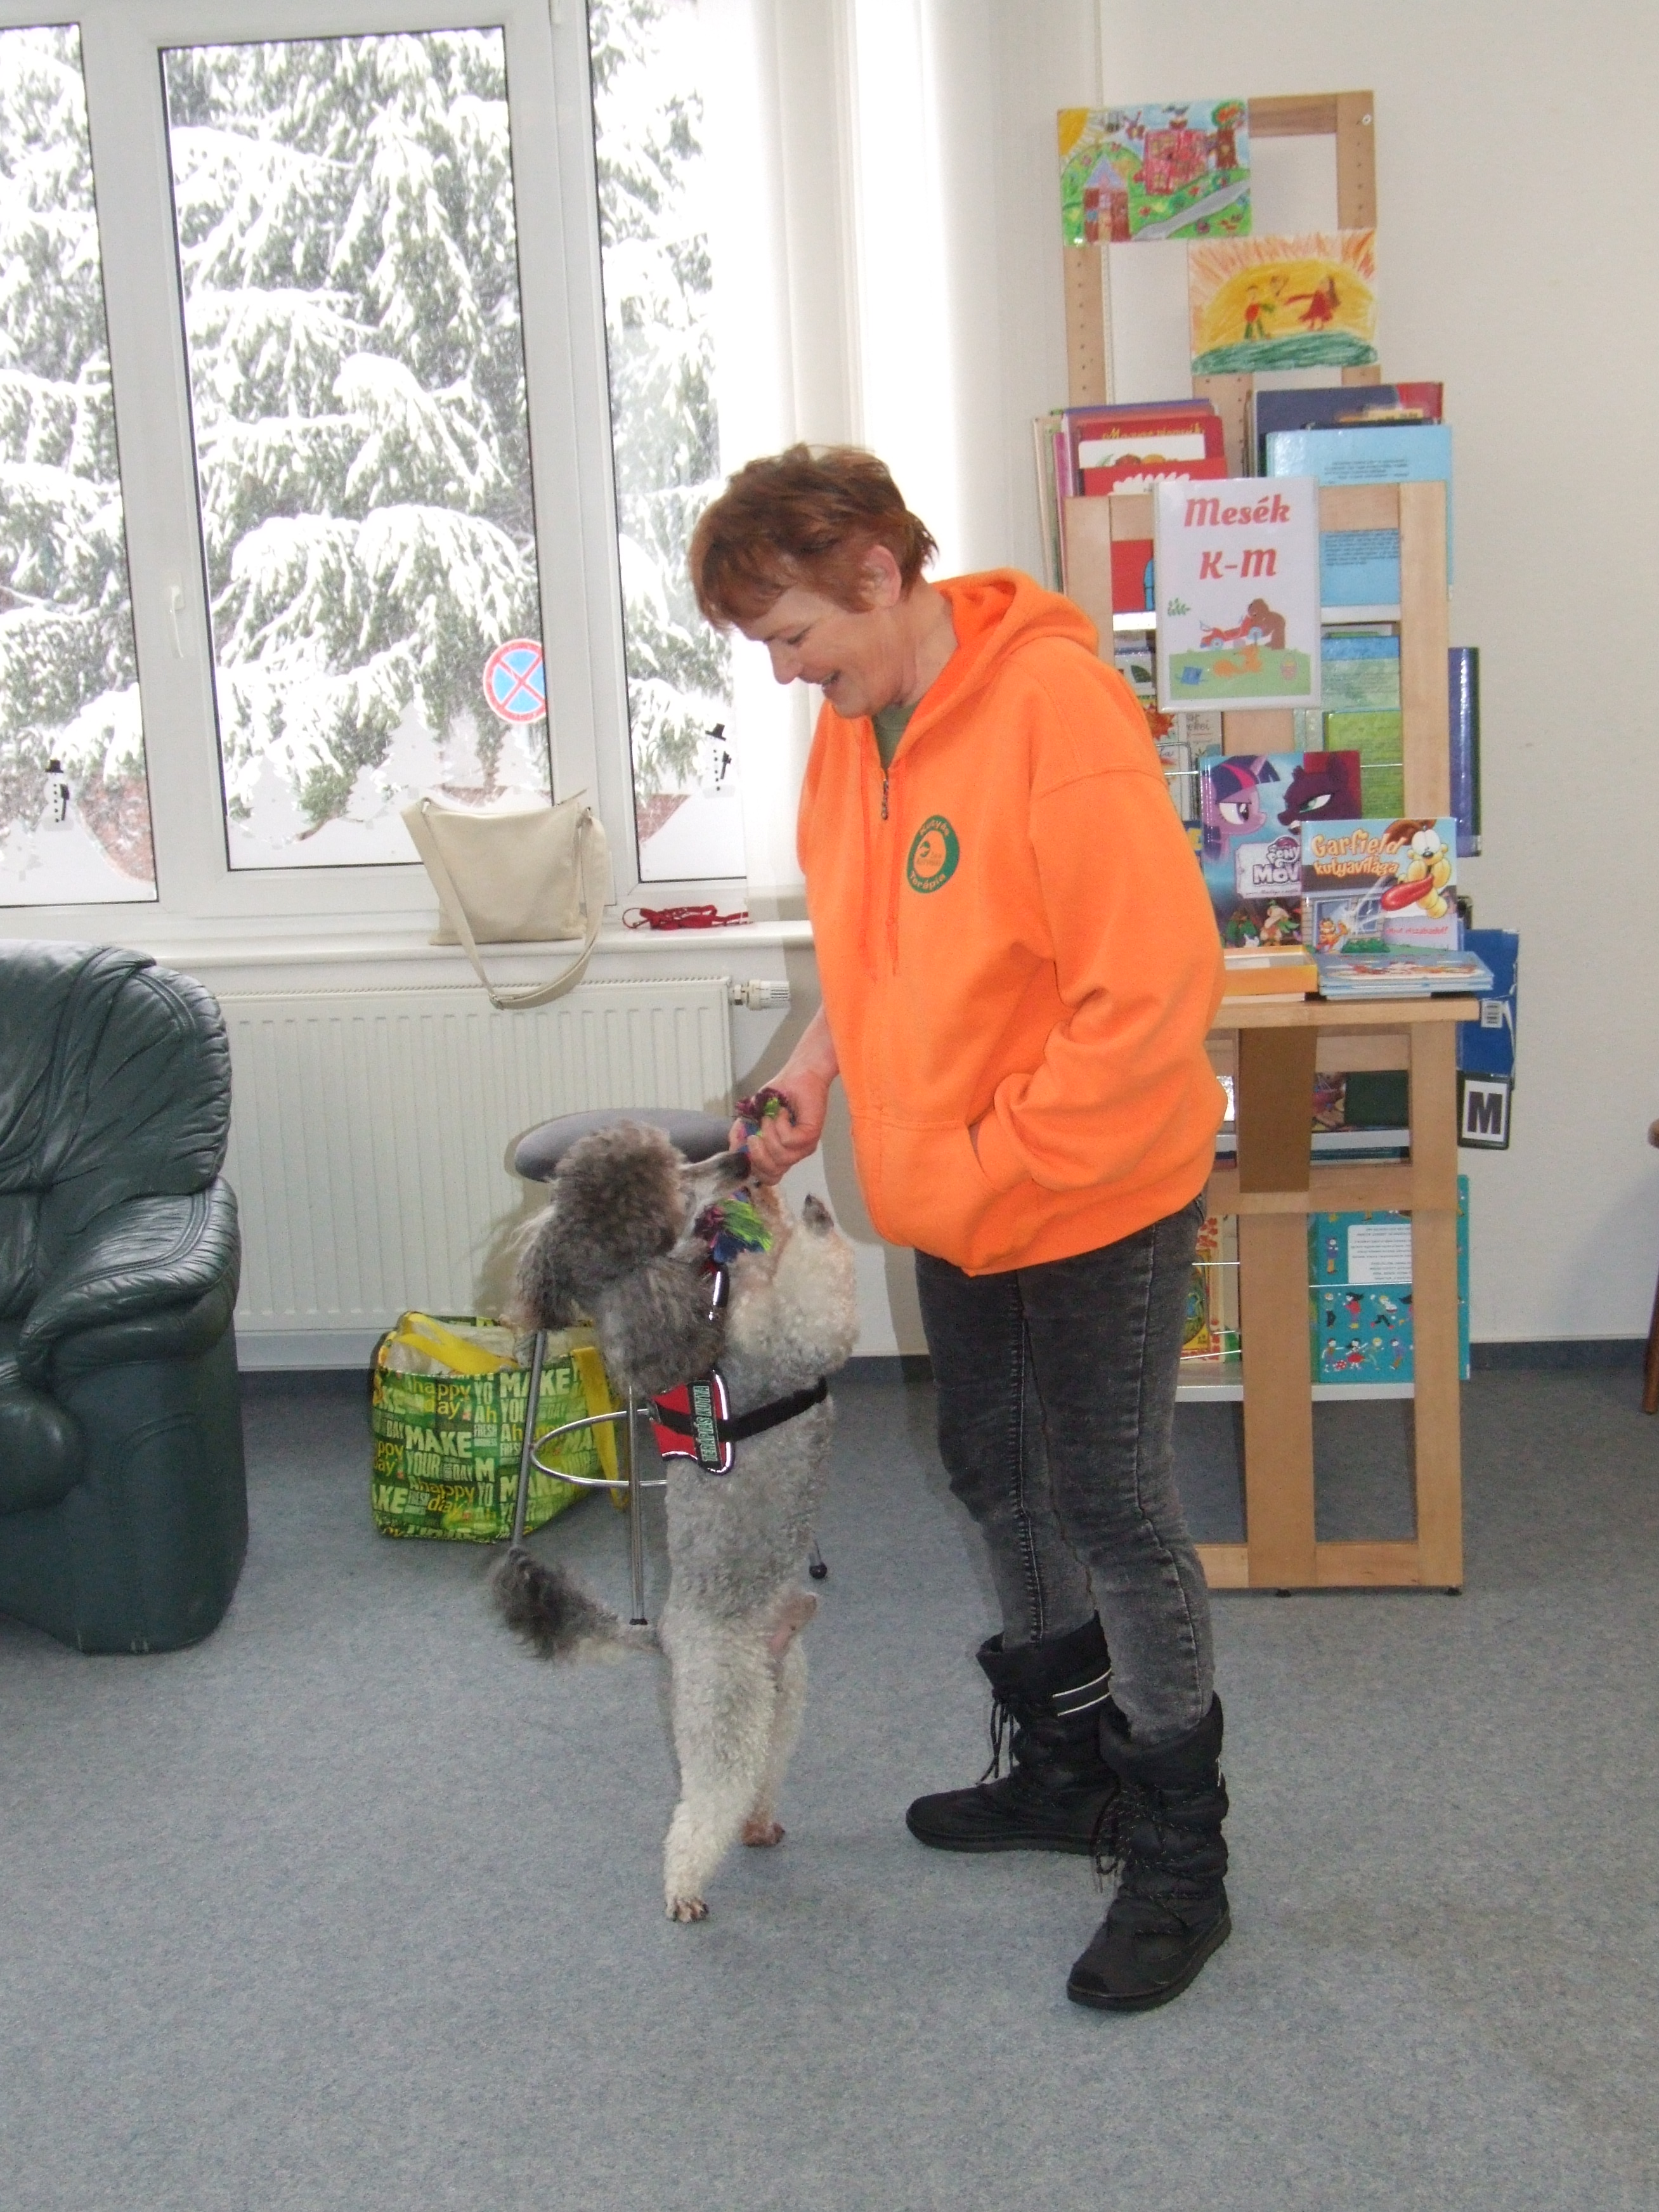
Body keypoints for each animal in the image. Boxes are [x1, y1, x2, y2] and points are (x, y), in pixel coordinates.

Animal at [491, 1121, 857, 1921]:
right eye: (677, 1192)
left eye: (676, 1163)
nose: (740, 1158)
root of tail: (664, 1632)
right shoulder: (786, 1335)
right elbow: (816, 1307)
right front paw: (813, 1217)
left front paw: (772, 1203)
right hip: (725, 1700)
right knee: (705, 1801)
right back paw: (684, 1887)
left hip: (782, 1690)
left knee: (761, 1772)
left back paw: (758, 1822)